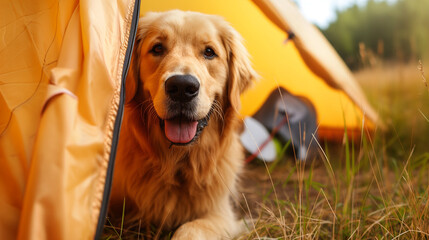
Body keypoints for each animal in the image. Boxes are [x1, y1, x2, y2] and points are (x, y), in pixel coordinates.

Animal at [110, 10, 256, 239]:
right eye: (157, 48)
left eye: (209, 52)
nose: (181, 87)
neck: (176, 163)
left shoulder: (220, 213)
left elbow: (191, 228)